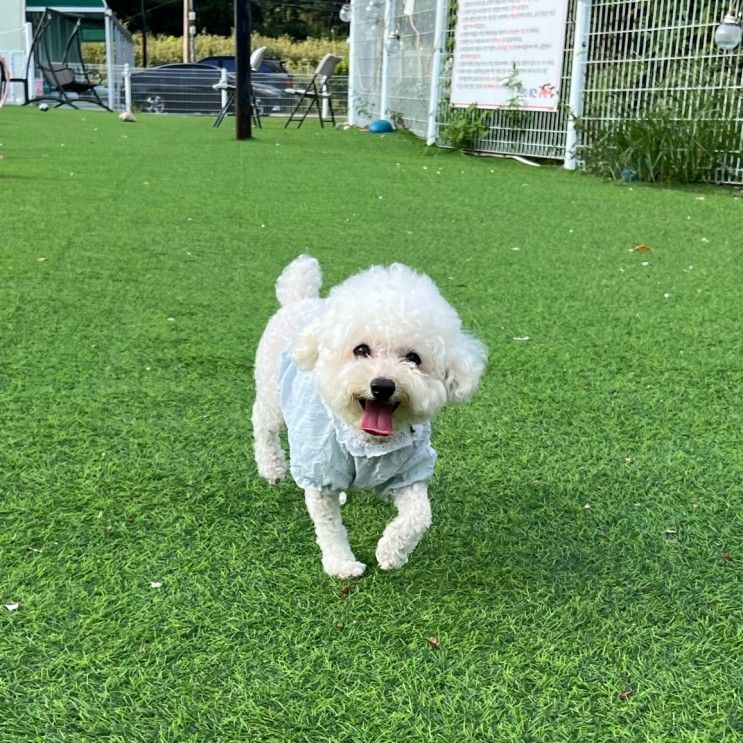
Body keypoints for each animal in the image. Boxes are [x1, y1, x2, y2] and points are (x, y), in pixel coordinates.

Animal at [253, 258, 488, 580]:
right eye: (361, 350)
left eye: (413, 358)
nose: (383, 386)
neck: (368, 441)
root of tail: (299, 299)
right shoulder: (320, 470)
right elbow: (329, 527)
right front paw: (341, 564)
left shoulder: (408, 472)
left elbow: (419, 515)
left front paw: (392, 553)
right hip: (272, 395)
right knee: (262, 423)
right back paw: (271, 468)